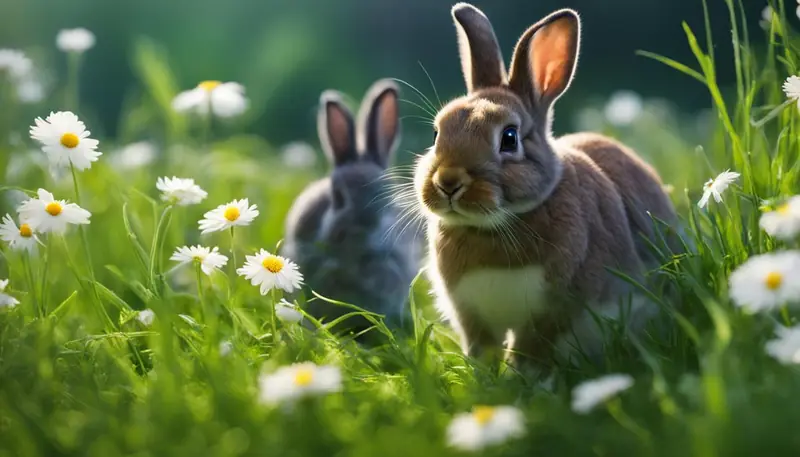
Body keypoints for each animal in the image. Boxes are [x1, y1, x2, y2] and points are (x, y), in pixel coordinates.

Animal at [412, 4, 678, 371]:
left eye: (509, 138)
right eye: (437, 133)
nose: (448, 182)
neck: (495, 225)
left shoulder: (552, 311)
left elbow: (529, 350)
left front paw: (518, 378)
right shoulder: (472, 316)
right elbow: (483, 350)